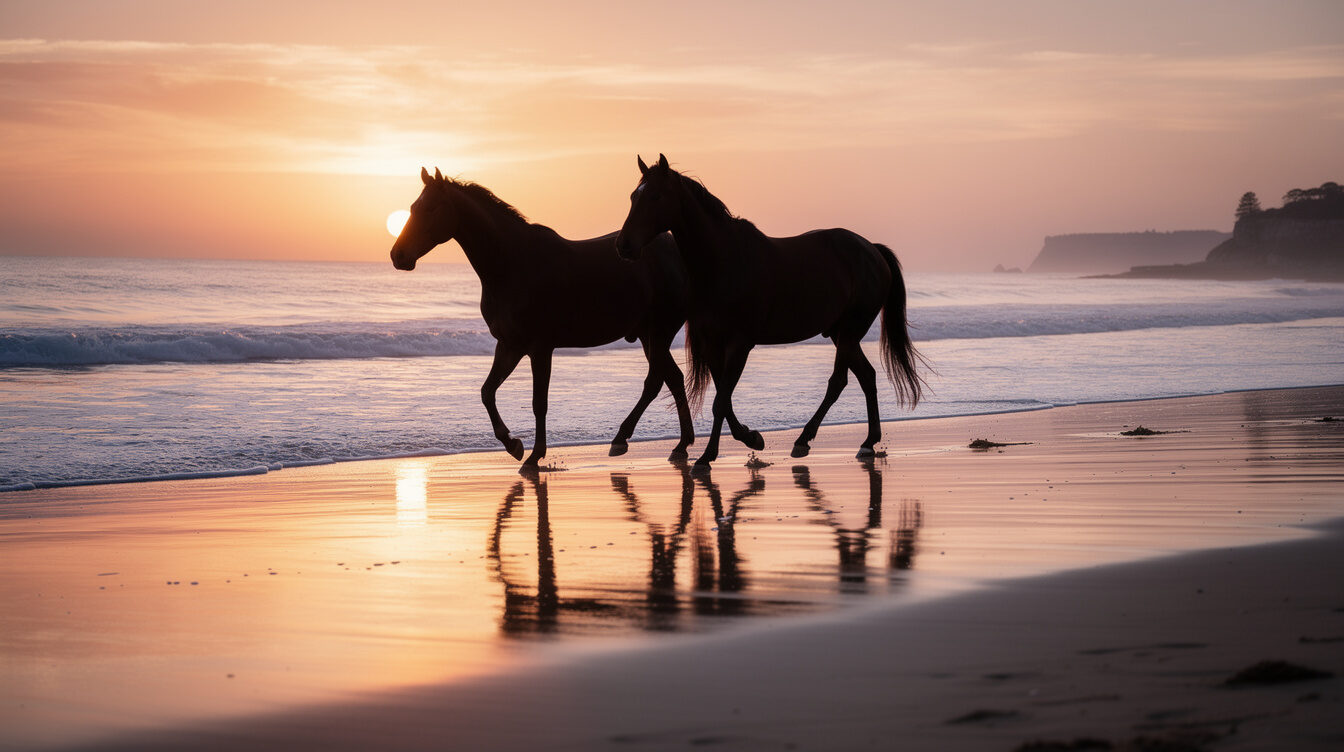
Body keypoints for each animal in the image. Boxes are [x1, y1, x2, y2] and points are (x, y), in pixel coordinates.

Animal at [390, 167, 695, 467]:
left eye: (430, 208)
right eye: (413, 207)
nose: (398, 255)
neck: (512, 265)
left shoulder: (540, 349)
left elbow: (539, 403)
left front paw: (535, 455)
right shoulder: (510, 346)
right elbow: (487, 392)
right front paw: (512, 444)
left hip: (659, 333)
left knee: (656, 382)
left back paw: (623, 439)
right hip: (648, 336)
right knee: (674, 378)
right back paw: (681, 445)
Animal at [614, 154, 924, 468]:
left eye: (655, 196)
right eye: (633, 196)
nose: (623, 245)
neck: (724, 261)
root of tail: (871, 249)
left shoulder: (739, 344)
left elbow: (720, 402)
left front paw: (707, 456)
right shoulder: (712, 343)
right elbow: (724, 398)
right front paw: (751, 438)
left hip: (850, 330)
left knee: (839, 381)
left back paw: (806, 440)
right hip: (840, 332)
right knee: (866, 376)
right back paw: (867, 442)